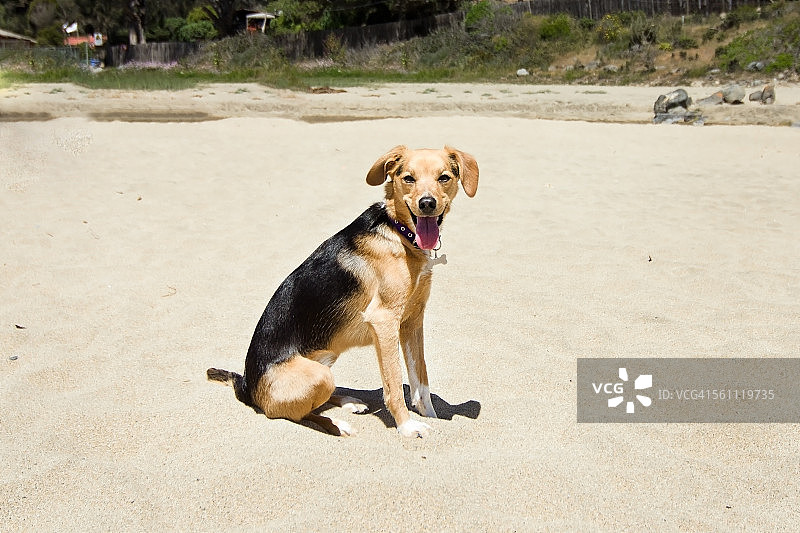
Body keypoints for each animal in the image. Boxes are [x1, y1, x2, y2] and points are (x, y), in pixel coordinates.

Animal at [207, 145, 478, 437]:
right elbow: (394, 384)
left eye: (444, 177)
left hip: (326, 357)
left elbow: (421, 380)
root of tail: (246, 385)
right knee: (293, 413)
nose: (427, 203)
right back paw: (338, 424)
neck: (398, 232)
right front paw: (406, 426)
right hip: (319, 375)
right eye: (408, 178)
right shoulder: (384, 321)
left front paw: (430, 415)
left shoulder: (413, 320)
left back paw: (349, 402)